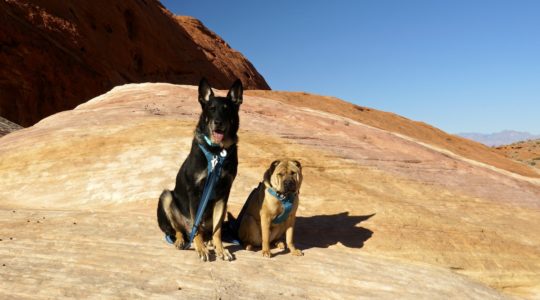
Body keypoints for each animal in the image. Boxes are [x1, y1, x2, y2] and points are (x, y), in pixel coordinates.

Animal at [155, 78, 242, 262]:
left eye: (227, 109)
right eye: (211, 108)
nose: (218, 123)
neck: (216, 151)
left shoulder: (224, 194)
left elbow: (218, 230)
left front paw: (221, 249)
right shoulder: (195, 193)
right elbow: (197, 224)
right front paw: (200, 248)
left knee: (206, 230)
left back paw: (208, 241)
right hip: (166, 197)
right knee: (180, 230)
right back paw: (183, 240)